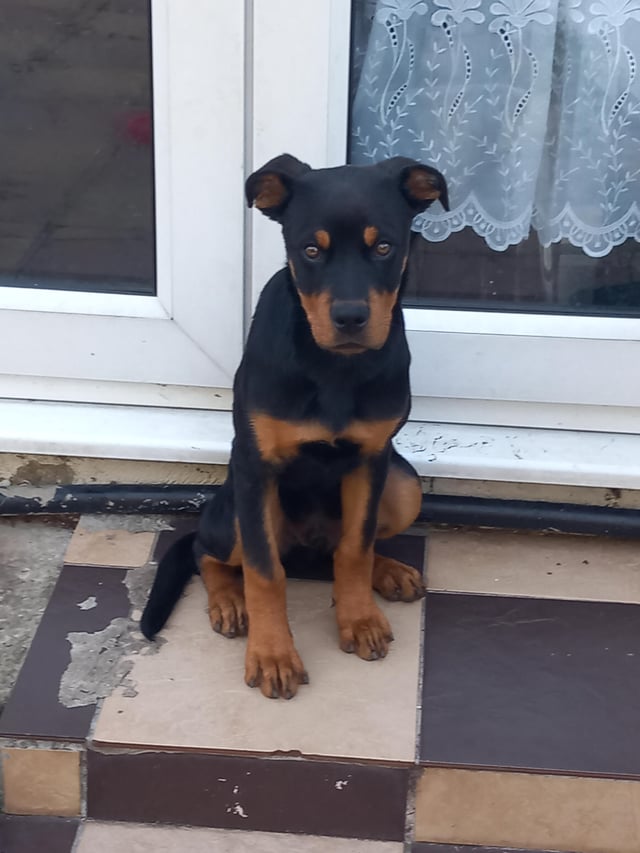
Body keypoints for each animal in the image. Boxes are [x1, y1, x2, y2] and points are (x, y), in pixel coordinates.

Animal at [142, 153, 448, 700]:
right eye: (311, 250)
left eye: (385, 247)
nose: (350, 318)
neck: (333, 366)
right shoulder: (256, 466)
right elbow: (265, 573)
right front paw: (272, 656)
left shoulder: (371, 459)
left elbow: (356, 547)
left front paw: (359, 619)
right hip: (235, 511)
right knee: (207, 551)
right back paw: (229, 601)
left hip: (403, 484)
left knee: (342, 549)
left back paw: (388, 572)